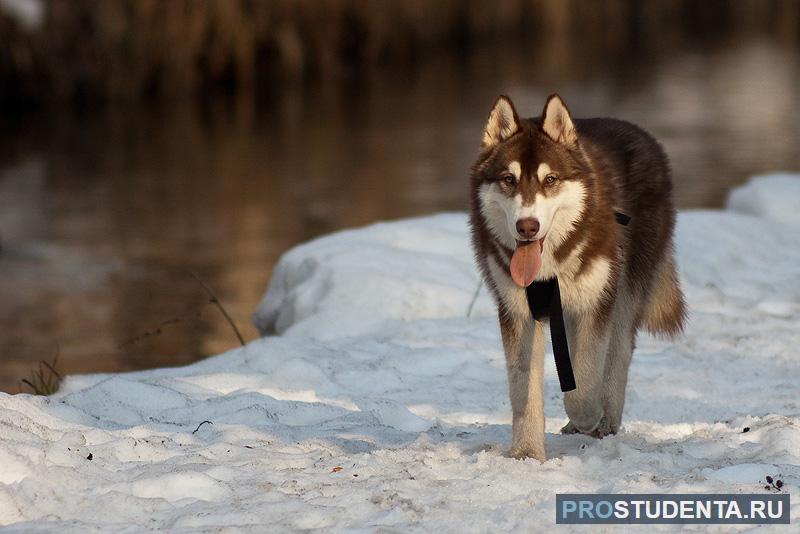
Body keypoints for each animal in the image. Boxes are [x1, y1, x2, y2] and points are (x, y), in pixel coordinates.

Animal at [468, 94, 688, 462]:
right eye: (508, 179)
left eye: (550, 180)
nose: (527, 227)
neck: (547, 271)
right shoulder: (518, 312)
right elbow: (523, 388)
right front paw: (526, 452)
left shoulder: (594, 304)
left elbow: (584, 383)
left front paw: (588, 414)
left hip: (623, 289)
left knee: (618, 351)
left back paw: (605, 418)